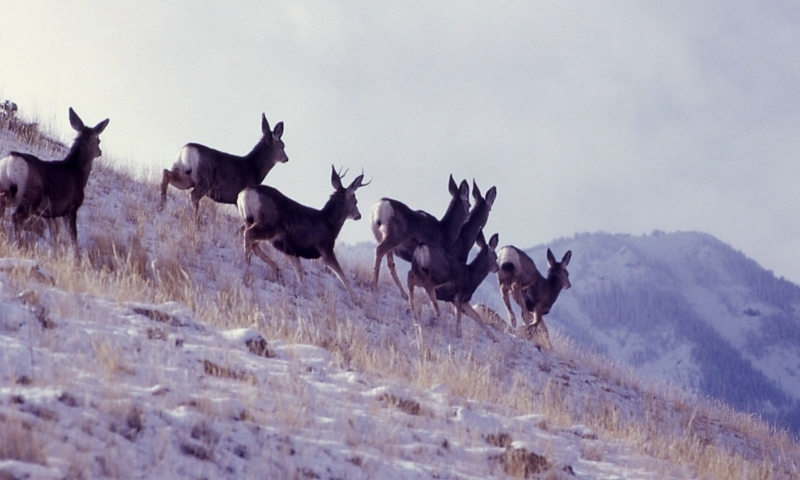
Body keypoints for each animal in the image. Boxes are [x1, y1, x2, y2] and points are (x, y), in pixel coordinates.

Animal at [0, 108, 109, 256]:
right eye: (98, 140)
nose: (100, 152)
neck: (78, 173)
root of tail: (11, 161)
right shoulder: (71, 208)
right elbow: (73, 238)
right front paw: (76, 259)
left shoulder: (48, 214)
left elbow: (55, 237)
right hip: (31, 197)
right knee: (16, 217)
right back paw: (21, 247)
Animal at [237, 166, 368, 304]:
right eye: (355, 201)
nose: (358, 215)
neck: (330, 224)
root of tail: (245, 193)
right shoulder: (325, 247)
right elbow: (341, 273)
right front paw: (357, 300)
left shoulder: (291, 250)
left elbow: (299, 272)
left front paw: (304, 294)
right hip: (269, 225)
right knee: (248, 234)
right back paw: (247, 272)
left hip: (250, 221)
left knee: (247, 237)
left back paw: (276, 269)